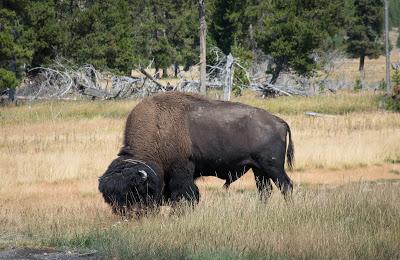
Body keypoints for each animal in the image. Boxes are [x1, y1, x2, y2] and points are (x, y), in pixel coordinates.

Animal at [99, 92, 294, 214]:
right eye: (110, 199)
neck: (158, 130)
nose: (129, 215)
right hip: (258, 170)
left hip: (273, 167)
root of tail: (280, 122)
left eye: (136, 191)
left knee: (286, 186)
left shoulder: (182, 170)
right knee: (265, 190)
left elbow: (185, 194)